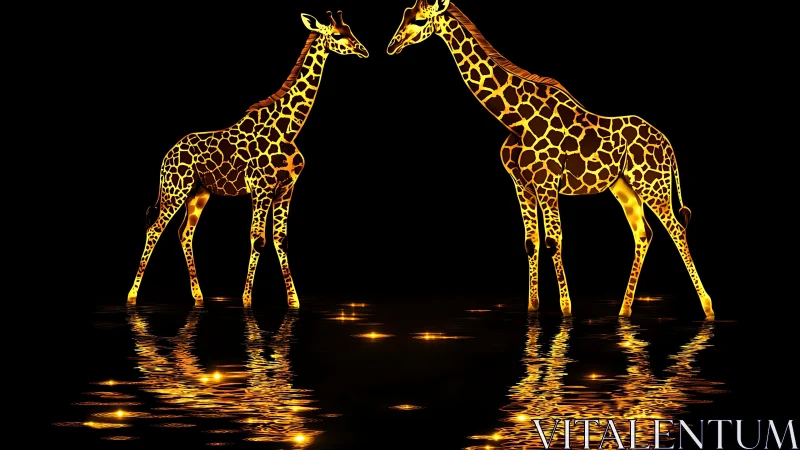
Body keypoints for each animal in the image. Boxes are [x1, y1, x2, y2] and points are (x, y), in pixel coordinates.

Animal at [127, 11, 369, 308]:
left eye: (350, 29)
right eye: (336, 35)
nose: (363, 51)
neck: (289, 128)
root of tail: (167, 156)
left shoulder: (286, 188)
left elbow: (280, 239)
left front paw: (293, 301)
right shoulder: (261, 188)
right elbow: (258, 239)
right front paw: (246, 300)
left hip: (199, 192)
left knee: (184, 232)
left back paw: (199, 297)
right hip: (176, 189)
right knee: (155, 229)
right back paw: (132, 296)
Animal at [387, 0, 714, 318]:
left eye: (419, 20)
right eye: (404, 15)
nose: (392, 45)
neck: (515, 119)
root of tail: (668, 146)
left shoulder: (546, 182)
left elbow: (553, 240)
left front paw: (566, 311)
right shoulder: (521, 183)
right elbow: (531, 242)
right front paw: (533, 309)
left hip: (653, 184)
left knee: (676, 229)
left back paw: (707, 308)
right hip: (624, 187)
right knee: (643, 233)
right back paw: (624, 310)